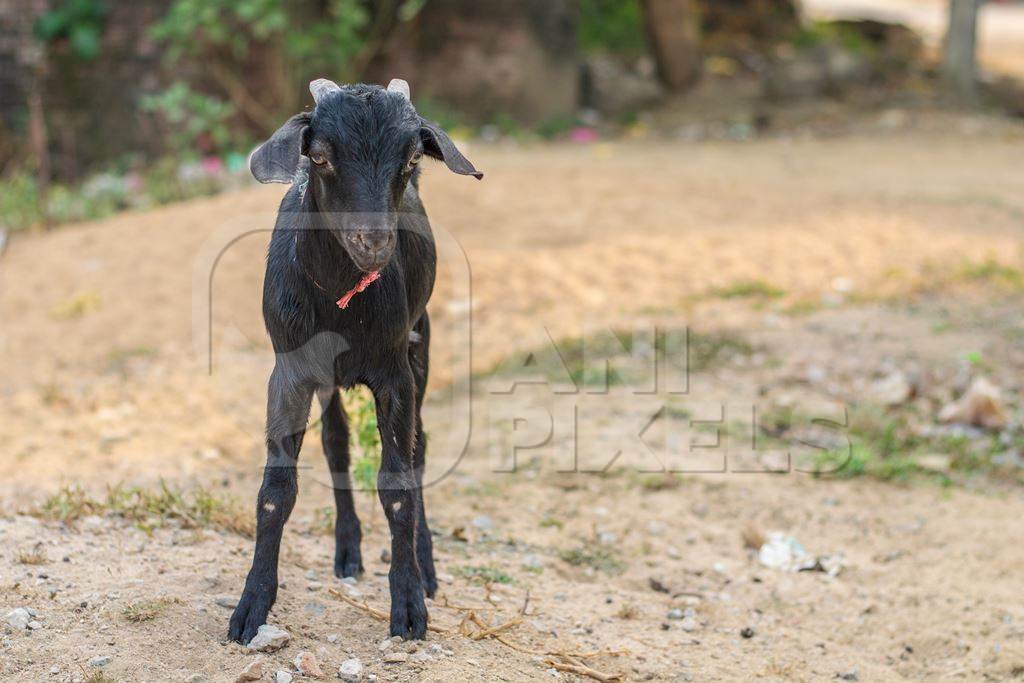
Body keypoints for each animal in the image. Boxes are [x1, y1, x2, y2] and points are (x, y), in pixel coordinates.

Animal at [231, 77, 483, 643]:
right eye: (320, 157)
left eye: (411, 159)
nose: (374, 242)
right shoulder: (290, 373)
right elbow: (277, 488)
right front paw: (251, 606)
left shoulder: (395, 374)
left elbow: (397, 483)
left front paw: (409, 605)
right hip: (329, 381)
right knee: (337, 444)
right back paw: (348, 549)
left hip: (420, 346)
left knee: (419, 449)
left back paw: (425, 563)